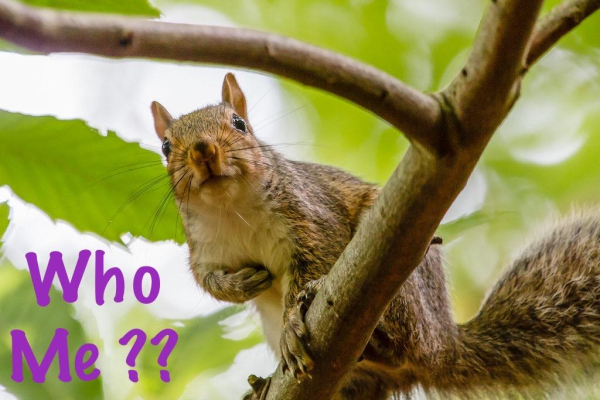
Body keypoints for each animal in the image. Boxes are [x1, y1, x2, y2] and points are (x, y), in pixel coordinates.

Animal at [150, 73, 600, 398]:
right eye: (166, 147)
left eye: (239, 124)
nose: (203, 151)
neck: (232, 209)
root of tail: (445, 346)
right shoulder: (203, 250)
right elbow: (208, 281)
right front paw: (242, 284)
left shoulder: (312, 218)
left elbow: (313, 263)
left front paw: (294, 320)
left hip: (403, 290)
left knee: (403, 340)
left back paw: (376, 336)